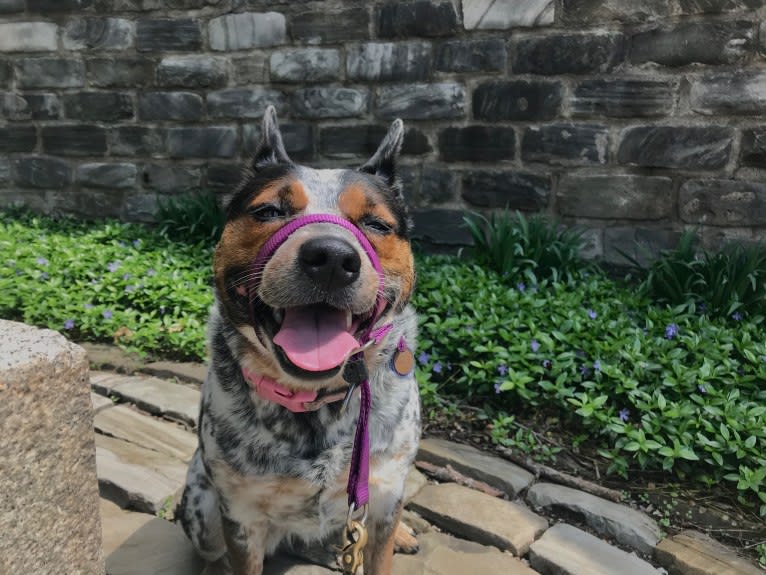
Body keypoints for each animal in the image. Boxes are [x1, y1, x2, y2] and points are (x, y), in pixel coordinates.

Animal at [178, 107, 424, 575]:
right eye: (270, 210)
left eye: (376, 223)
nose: (331, 258)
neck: (318, 401)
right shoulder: (240, 515)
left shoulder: (382, 492)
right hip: (201, 511)